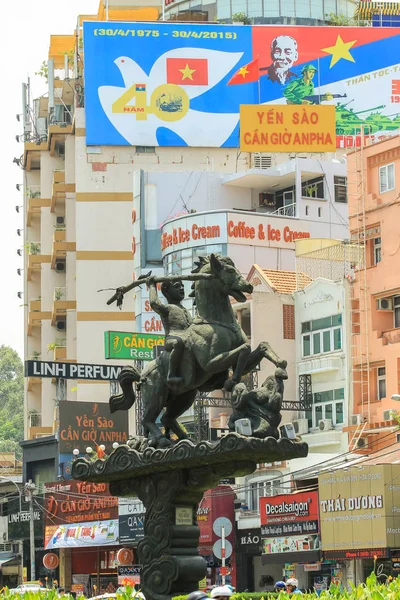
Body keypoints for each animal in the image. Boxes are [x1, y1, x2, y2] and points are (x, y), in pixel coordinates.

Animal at [110, 255, 284, 448]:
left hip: (185, 396)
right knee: (147, 419)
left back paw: (186, 440)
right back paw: (162, 439)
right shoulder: (211, 363)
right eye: (230, 271)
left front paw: (281, 366)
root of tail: (141, 374)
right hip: (156, 394)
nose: (249, 286)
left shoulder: (238, 362)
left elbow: (261, 346)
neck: (217, 321)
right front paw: (232, 381)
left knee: (167, 418)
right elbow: (244, 349)